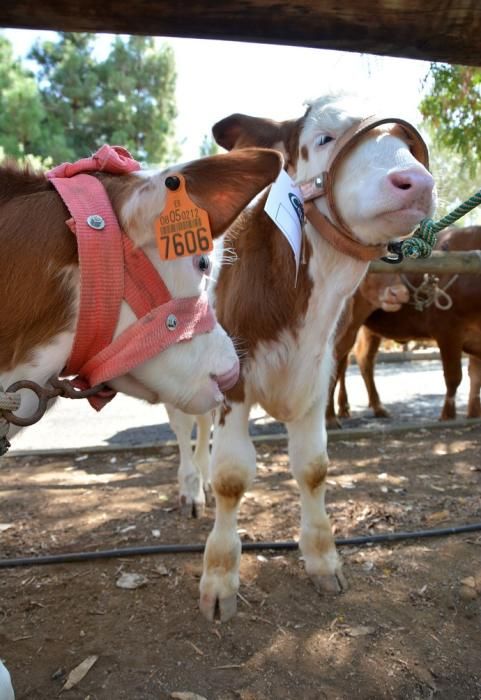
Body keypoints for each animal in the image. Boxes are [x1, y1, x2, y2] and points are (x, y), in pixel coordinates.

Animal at [166, 91, 436, 616]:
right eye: (325, 138)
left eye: (406, 141)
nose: (416, 181)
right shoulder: (237, 380)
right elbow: (232, 476)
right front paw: (220, 577)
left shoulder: (317, 375)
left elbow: (313, 469)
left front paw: (322, 559)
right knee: (185, 430)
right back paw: (191, 489)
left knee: (202, 428)